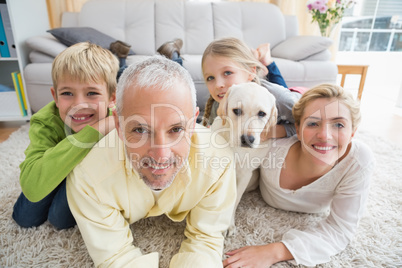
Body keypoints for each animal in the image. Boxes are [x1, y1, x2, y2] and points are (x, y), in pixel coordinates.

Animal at [210, 82, 276, 234]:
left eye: (262, 113)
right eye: (237, 111)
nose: (247, 139)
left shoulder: (245, 175)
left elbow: (234, 200)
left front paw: (228, 224)